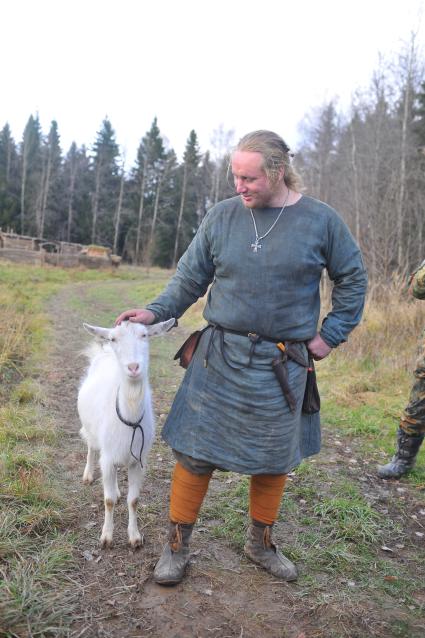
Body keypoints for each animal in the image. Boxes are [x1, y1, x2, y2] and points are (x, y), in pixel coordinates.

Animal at [78, 320, 174, 552]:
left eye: (145, 335)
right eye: (114, 338)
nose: (133, 367)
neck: (129, 416)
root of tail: (103, 353)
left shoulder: (138, 460)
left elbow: (134, 499)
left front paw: (135, 537)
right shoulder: (107, 458)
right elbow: (108, 500)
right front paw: (106, 537)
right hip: (92, 432)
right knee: (91, 448)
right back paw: (88, 475)